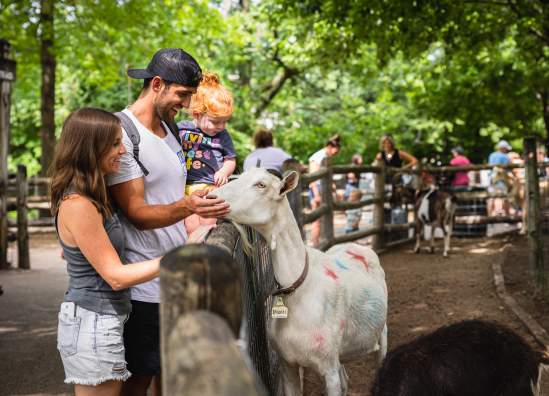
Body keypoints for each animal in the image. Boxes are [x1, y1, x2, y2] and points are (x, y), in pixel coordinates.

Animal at [212, 168, 388, 396]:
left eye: (261, 184)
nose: (212, 197)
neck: (300, 289)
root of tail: (357, 245)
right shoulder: (288, 363)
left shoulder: (328, 366)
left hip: (382, 332)